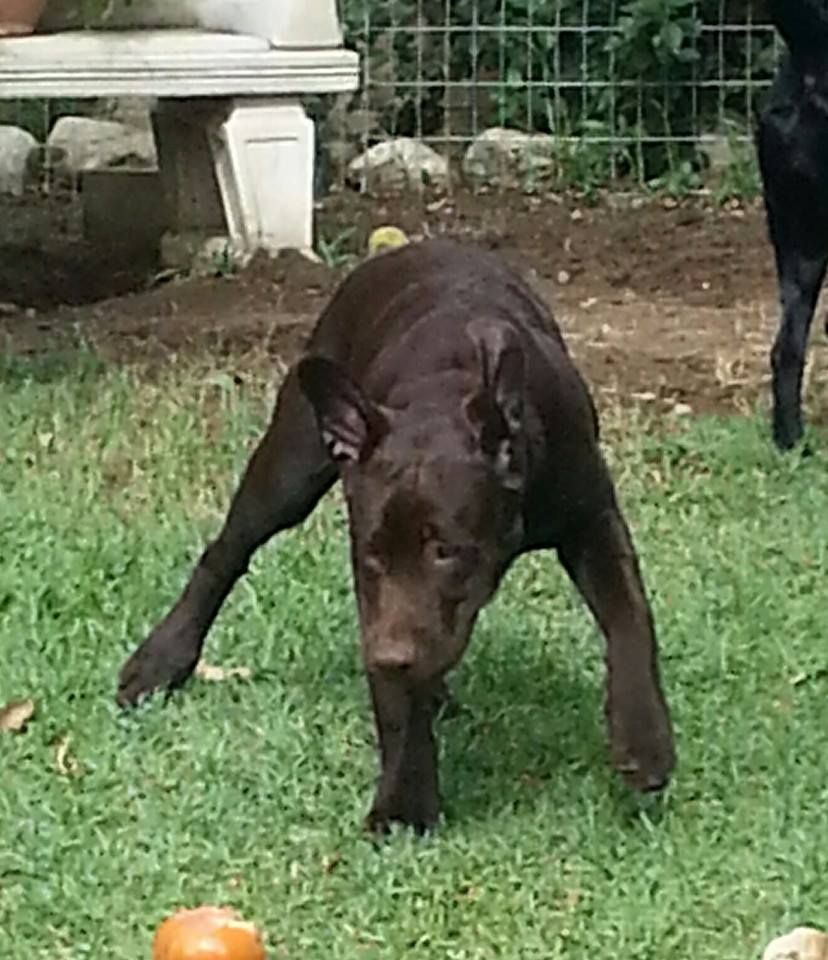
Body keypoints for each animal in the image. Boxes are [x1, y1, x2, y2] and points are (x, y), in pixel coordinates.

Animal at [117, 238, 675, 834]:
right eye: (375, 556)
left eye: (446, 551)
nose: (390, 656)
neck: (446, 388)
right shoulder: (373, 586)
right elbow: (396, 700)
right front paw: (404, 805)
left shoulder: (592, 517)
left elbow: (630, 617)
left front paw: (643, 738)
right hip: (290, 463)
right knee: (226, 552)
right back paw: (159, 661)